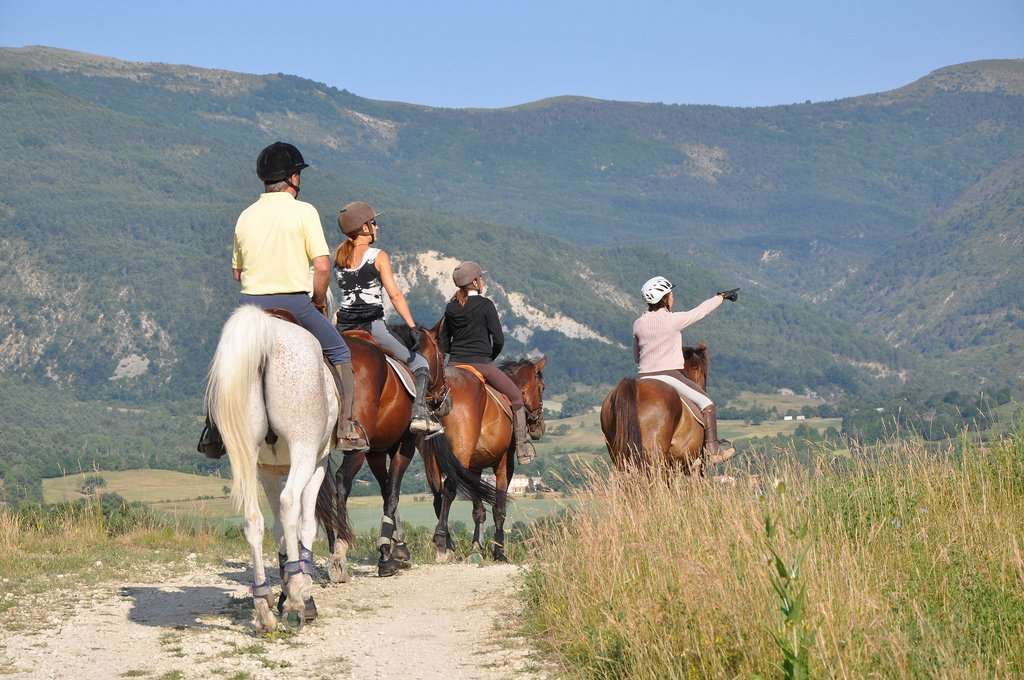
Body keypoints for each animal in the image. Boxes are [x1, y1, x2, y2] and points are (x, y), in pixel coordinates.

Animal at [205, 305, 335, 632]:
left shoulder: (268, 470)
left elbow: (277, 530)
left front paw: (286, 587)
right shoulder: (319, 462)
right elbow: (306, 523)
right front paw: (299, 591)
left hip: (247, 455)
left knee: (252, 518)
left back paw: (264, 606)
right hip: (304, 448)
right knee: (290, 504)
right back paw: (297, 600)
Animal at [314, 322, 443, 580]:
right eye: (442, 356)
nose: (444, 395)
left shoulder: (376, 451)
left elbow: (385, 490)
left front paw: (398, 547)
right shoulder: (404, 446)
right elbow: (392, 493)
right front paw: (386, 554)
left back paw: (331, 547)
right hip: (355, 445)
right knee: (342, 481)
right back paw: (340, 552)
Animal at [417, 325, 547, 562]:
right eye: (542, 387)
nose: (539, 427)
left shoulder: (473, 468)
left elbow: (478, 509)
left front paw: (476, 547)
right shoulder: (504, 464)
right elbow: (499, 508)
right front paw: (499, 550)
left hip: (431, 459)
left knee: (438, 494)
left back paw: (447, 543)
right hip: (459, 454)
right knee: (449, 489)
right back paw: (442, 540)